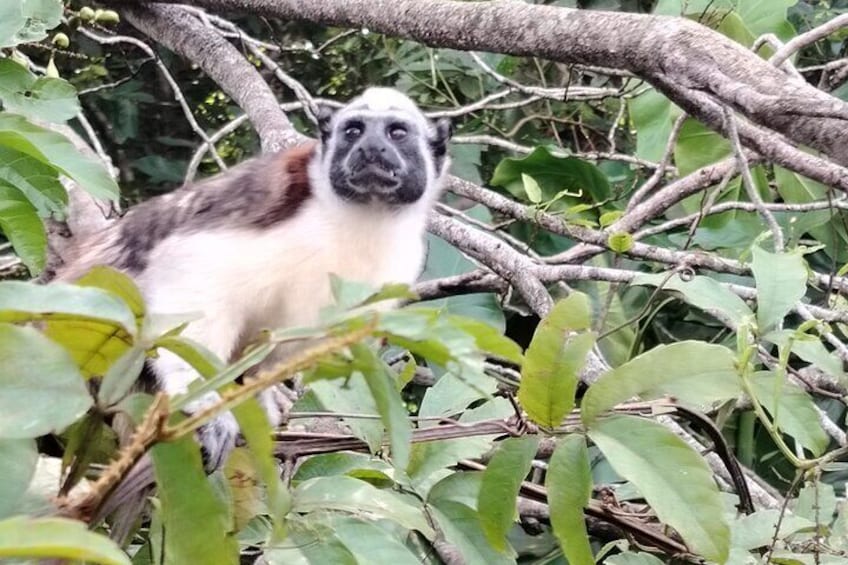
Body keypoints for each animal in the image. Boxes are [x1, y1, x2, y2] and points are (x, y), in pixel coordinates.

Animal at [55, 87, 453, 474]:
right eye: (354, 131)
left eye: (396, 133)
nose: (370, 148)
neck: (364, 217)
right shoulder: (272, 208)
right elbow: (190, 268)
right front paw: (204, 400)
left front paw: (259, 400)